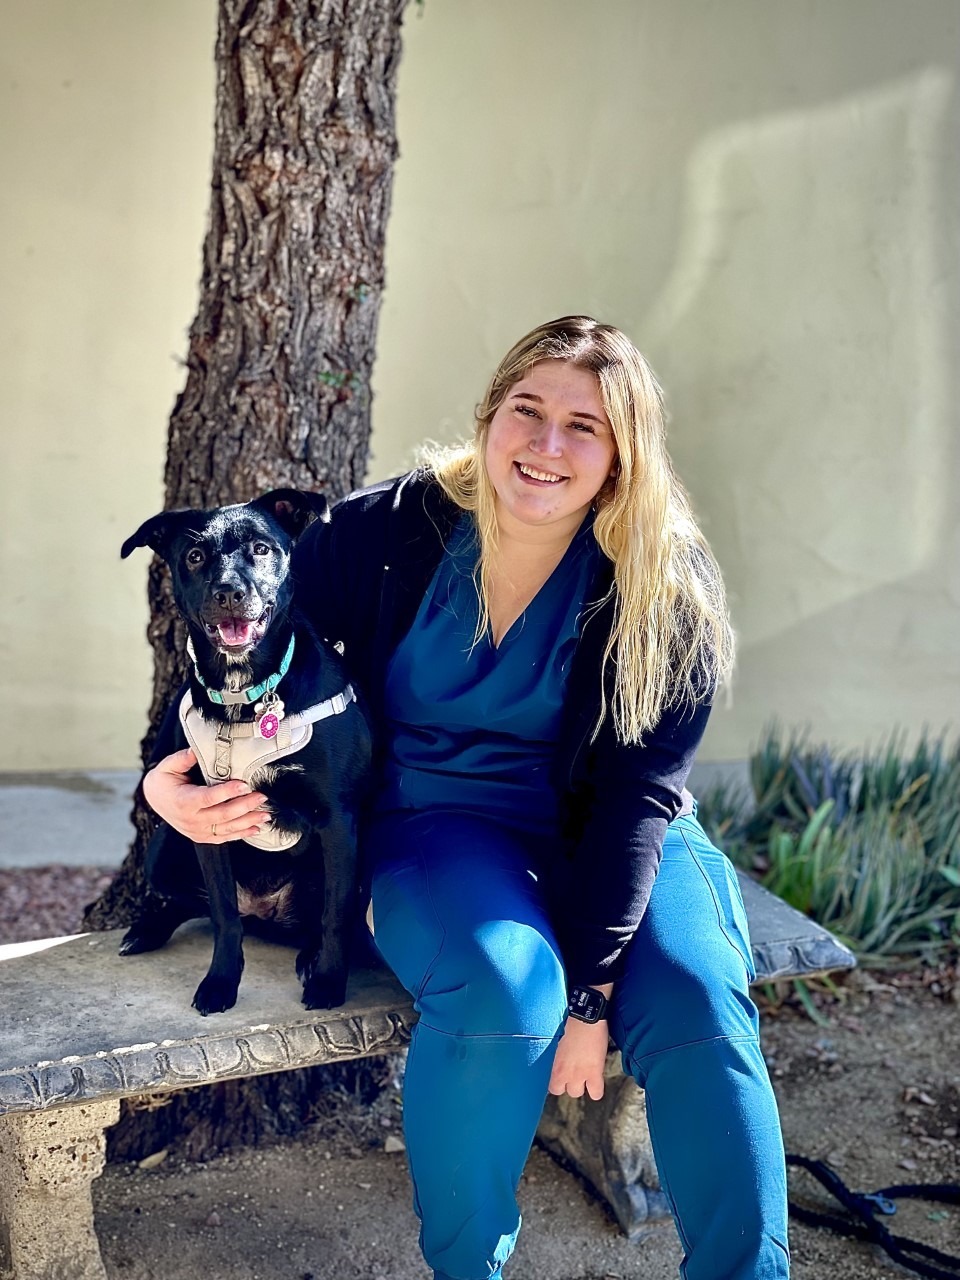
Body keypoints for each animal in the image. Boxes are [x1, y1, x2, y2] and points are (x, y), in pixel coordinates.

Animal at [119, 489, 371, 1016]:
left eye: (260, 548)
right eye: (195, 556)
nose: (230, 592)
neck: (244, 693)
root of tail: (266, 913)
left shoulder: (338, 819)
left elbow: (335, 915)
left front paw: (329, 982)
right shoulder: (206, 820)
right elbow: (223, 917)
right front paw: (220, 982)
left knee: (318, 918)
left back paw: (310, 957)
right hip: (164, 847)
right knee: (199, 905)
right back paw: (147, 928)